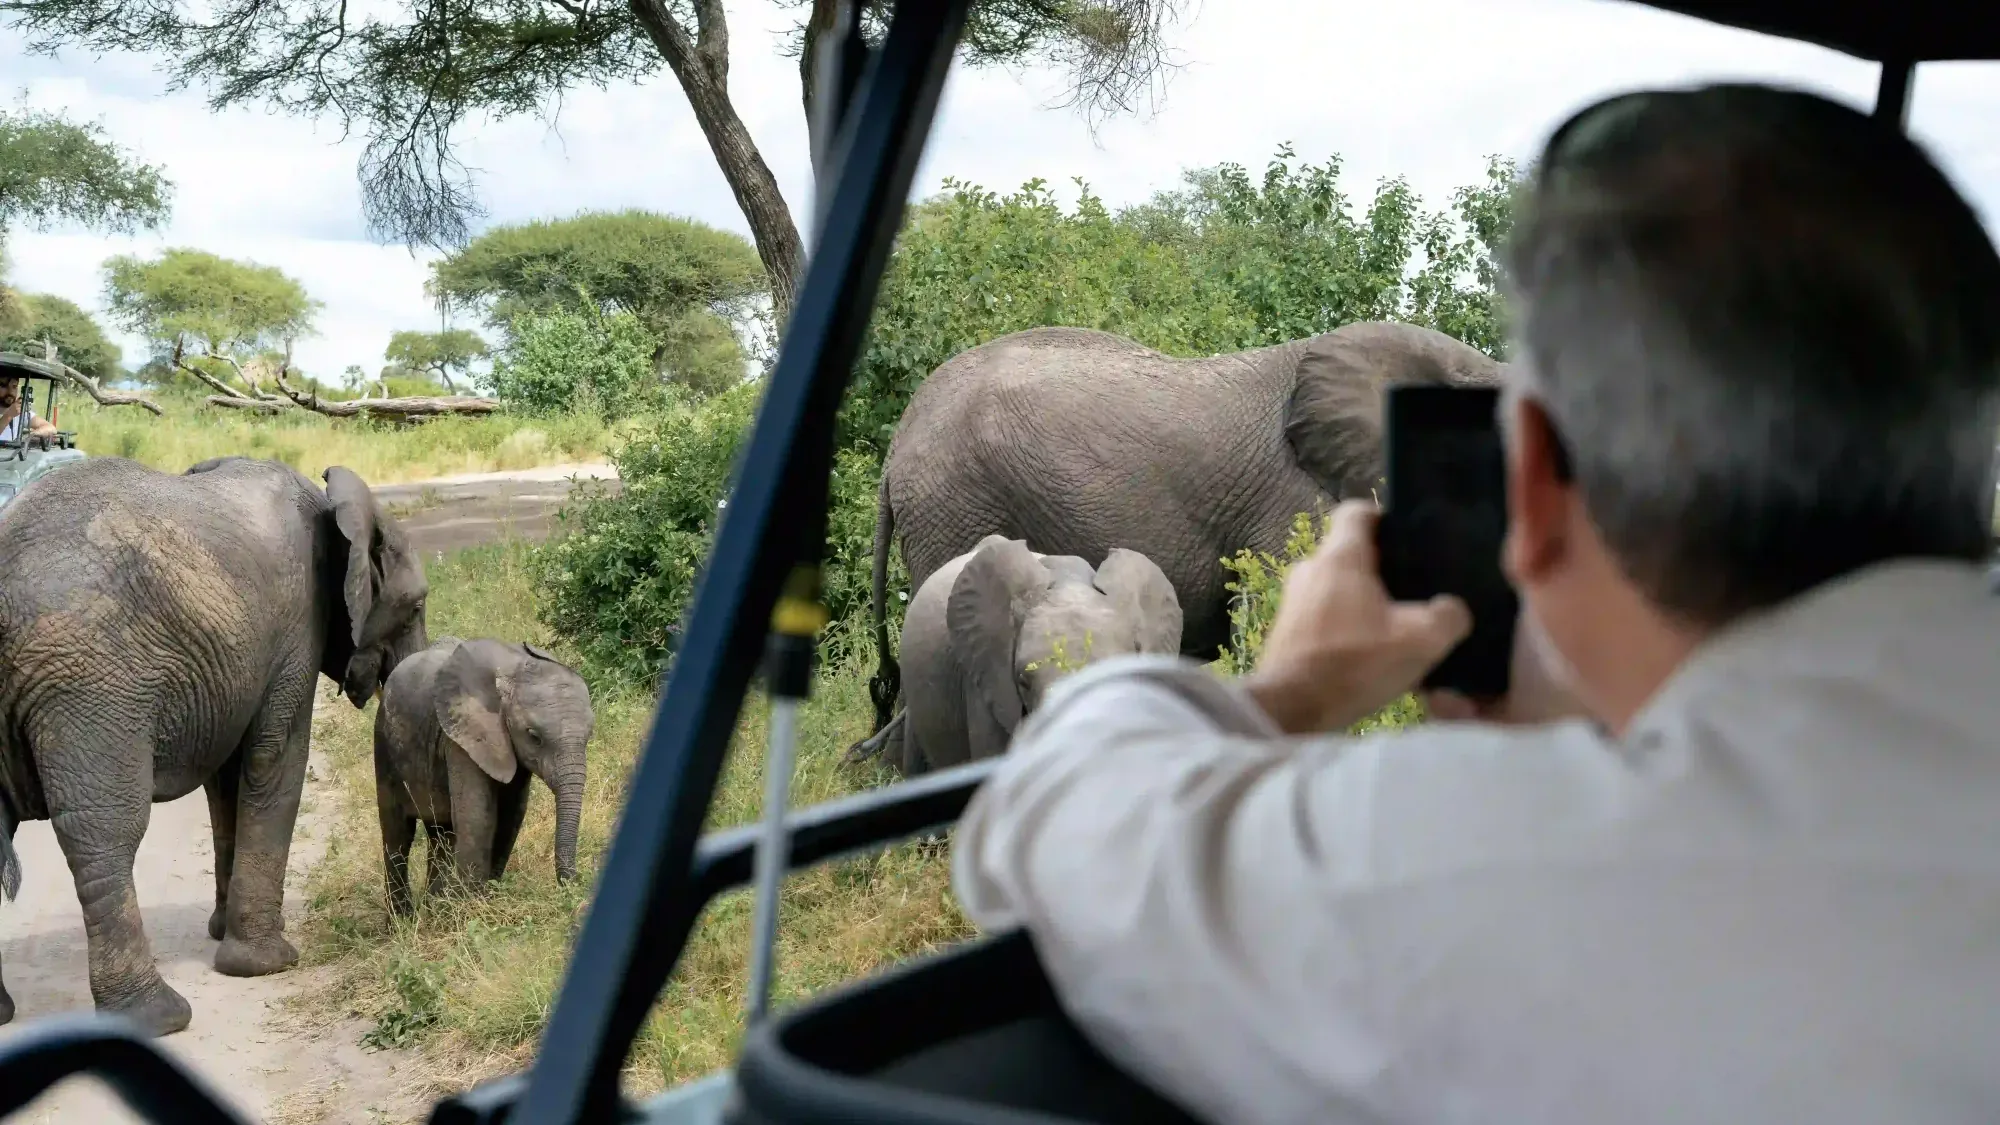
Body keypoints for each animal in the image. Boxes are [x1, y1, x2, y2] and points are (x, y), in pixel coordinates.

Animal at [0, 455, 428, 1036]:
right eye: (418, 606)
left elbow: (226, 783)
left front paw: (223, 932)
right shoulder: (297, 625)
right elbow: (275, 759)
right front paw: (267, 965)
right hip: (87, 686)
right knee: (107, 832)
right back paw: (160, 1017)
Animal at [372, 637, 592, 914]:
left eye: (590, 735)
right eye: (534, 737)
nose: (576, 896)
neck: (512, 665)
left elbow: (511, 815)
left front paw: (483, 900)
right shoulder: (461, 738)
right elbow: (478, 816)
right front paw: (474, 910)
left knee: (441, 834)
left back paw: (436, 911)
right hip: (383, 743)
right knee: (397, 836)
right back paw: (404, 919)